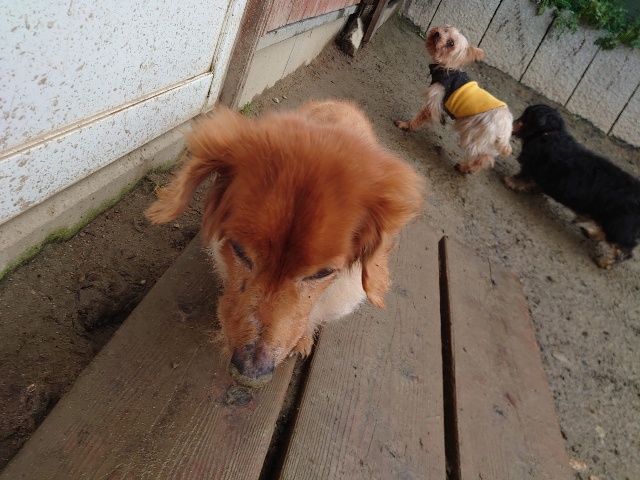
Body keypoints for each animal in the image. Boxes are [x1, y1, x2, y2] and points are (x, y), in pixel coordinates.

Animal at [395, 25, 513, 173]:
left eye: (451, 43)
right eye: (445, 29)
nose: (437, 33)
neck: (447, 68)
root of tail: (506, 127)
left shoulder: (435, 100)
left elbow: (420, 116)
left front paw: (406, 125)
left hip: (473, 136)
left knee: (483, 157)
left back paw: (465, 167)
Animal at [505, 104, 640, 268]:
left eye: (525, 117)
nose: (511, 123)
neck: (549, 133)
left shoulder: (533, 167)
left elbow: (522, 177)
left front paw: (509, 181)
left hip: (619, 227)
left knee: (624, 251)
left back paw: (605, 262)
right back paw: (592, 234)